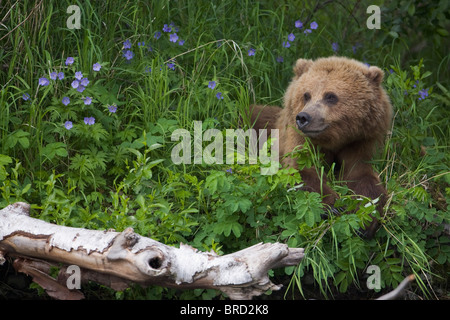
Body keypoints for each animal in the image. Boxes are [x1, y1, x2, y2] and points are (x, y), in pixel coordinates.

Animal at [251, 56, 392, 238]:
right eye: (306, 95)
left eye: (330, 96)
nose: (303, 117)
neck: (334, 140)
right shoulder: (301, 140)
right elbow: (302, 172)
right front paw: (334, 206)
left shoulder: (360, 141)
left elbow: (363, 175)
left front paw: (365, 219)